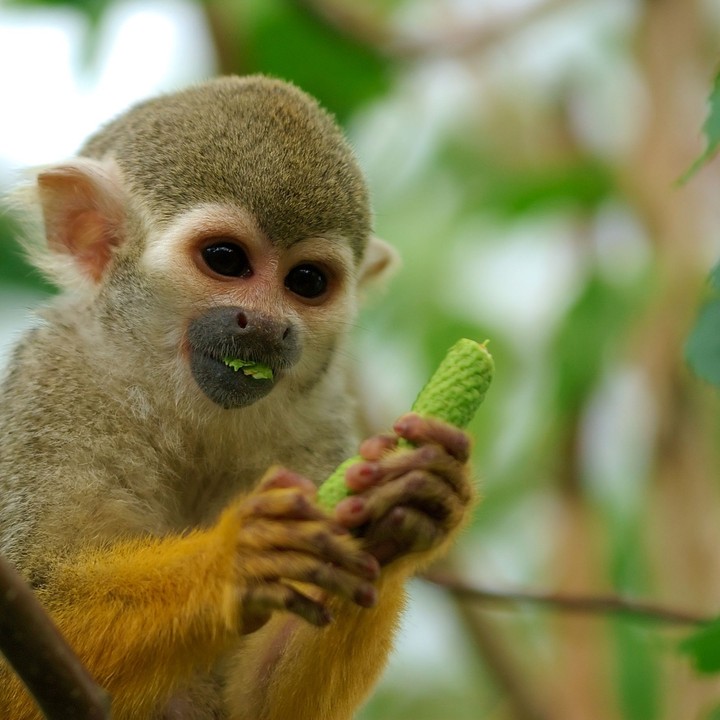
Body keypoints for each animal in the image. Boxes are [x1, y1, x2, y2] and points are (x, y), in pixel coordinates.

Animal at [0, 75, 476, 720]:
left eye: (306, 282)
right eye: (225, 260)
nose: (269, 327)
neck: (180, 404)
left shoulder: (318, 425)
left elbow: (259, 705)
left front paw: (403, 510)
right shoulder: (53, 388)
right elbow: (29, 635)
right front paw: (235, 559)